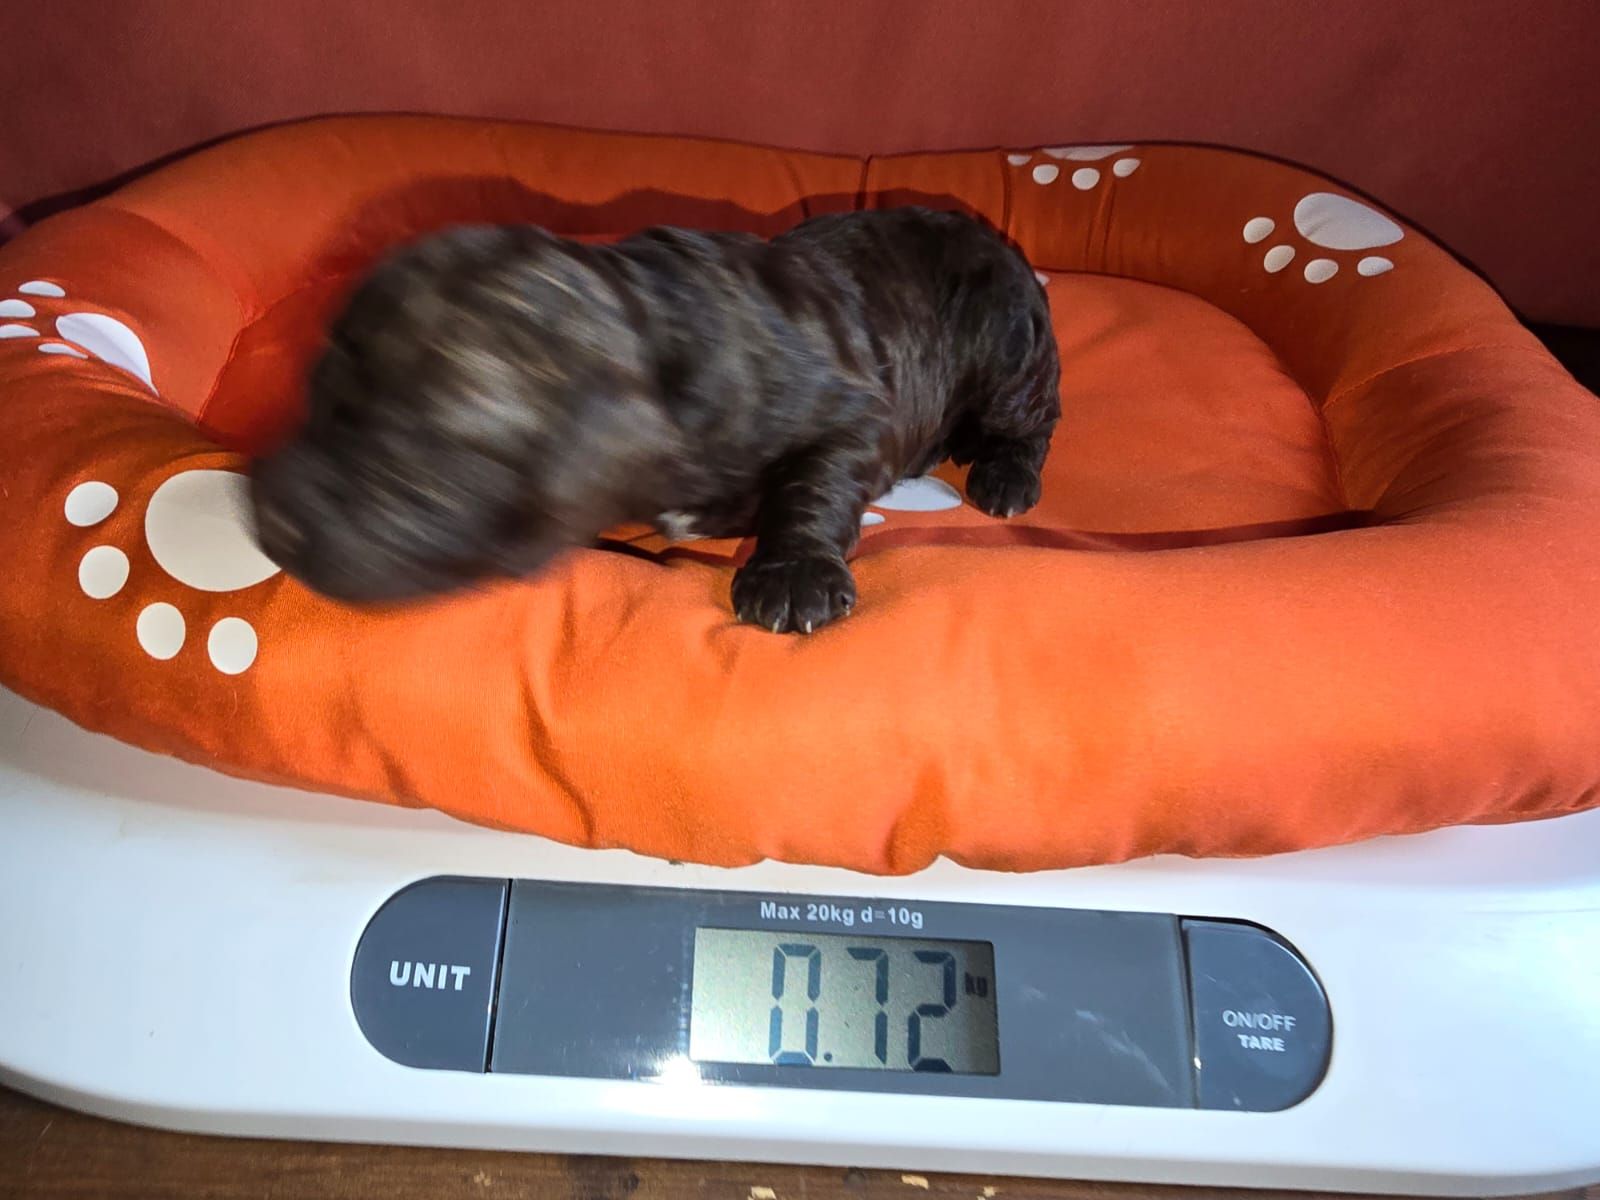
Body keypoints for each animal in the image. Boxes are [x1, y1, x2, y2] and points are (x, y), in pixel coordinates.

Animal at [250, 207, 1060, 633]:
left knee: (1034, 419)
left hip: (1007, 348)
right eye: (318, 391)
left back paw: (1004, 479)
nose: (271, 519)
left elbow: (816, 484)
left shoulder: (853, 410)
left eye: (412, 462)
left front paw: (792, 579)